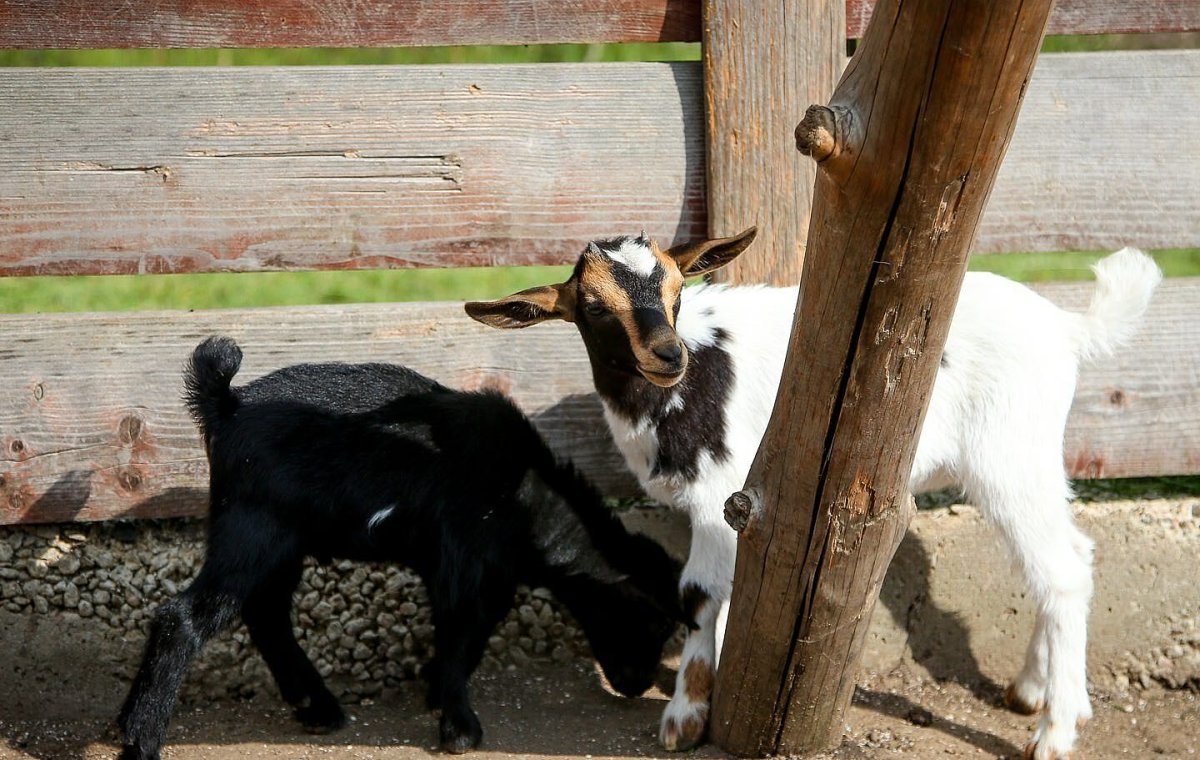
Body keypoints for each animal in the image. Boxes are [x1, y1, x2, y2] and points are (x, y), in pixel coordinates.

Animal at [116, 336, 684, 759]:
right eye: (654, 622)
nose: (638, 686)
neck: (526, 492)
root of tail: (226, 406)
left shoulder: (461, 567)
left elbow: (466, 634)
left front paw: (434, 692)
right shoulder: (465, 563)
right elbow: (461, 631)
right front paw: (459, 728)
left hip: (274, 537)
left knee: (266, 614)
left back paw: (315, 708)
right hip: (254, 530)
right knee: (185, 618)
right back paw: (141, 738)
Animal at [465, 228, 1162, 760]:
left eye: (677, 291)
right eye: (593, 307)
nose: (668, 355)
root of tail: (1068, 327)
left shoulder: (723, 499)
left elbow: (699, 595)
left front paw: (687, 716)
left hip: (1009, 453)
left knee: (1061, 571)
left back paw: (1056, 732)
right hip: (1027, 457)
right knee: (1071, 555)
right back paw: (1035, 692)